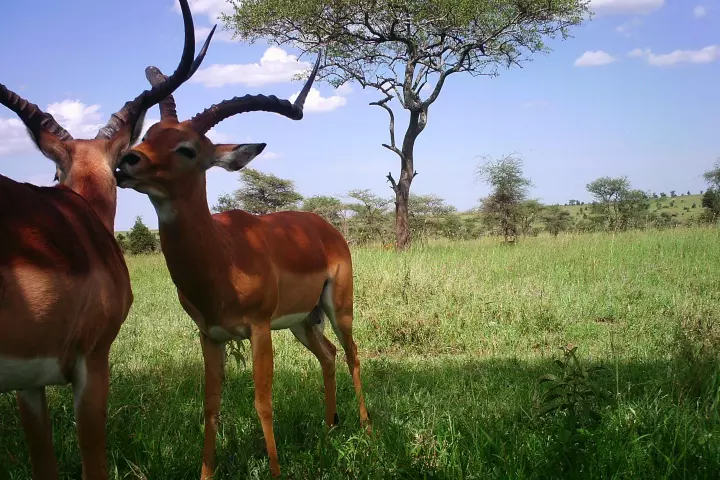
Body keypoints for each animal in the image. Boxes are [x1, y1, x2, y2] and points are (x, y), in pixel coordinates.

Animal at [114, 55, 370, 478]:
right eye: (149, 133)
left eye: (187, 148)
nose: (125, 161)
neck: (222, 257)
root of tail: (322, 226)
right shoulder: (210, 335)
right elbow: (210, 406)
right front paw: (205, 473)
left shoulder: (259, 329)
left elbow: (263, 402)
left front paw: (277, 472)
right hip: (303, 321)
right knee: (329, 355)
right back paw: (330, 427)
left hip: (338, 307)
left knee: (352, 354)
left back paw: (367, 427)